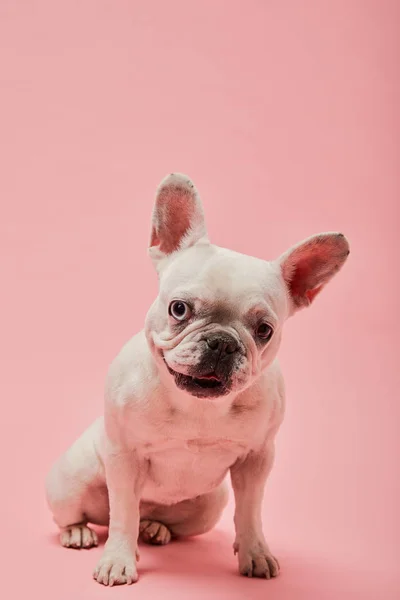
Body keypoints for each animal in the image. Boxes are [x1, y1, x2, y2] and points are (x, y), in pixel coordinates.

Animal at [44, 173, 350, 584]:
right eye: (179, 309)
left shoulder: (257, 459)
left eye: (264, 330)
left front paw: (255, 552)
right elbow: (122, 513)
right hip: (71, 482)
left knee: (160, 519)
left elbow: (250, 512)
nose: (222, 342)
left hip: (210, 505)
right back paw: (78, 532)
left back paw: (155, 528)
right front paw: (118, 560)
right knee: (85, 514)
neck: (198, 406)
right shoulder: (123, 457)